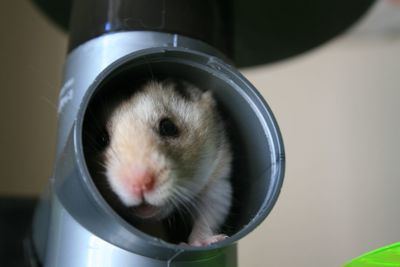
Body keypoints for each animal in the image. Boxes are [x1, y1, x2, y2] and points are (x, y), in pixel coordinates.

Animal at [88, 79, 231, 247]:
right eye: (101, 139)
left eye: (168, 127)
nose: (140, 184)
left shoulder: (219, 179)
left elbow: (208, 214)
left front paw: (203, 242)